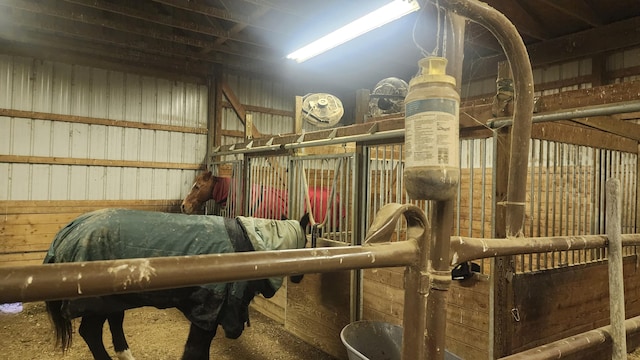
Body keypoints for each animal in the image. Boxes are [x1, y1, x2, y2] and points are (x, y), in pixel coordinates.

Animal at [44, 208, 310, 360]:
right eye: (309, 242)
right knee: (90, 333)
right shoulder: (208, 311)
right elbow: (195, 352)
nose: (300, 278)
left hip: (114, 300)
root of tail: (66, 233)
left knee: (113, 324)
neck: (249, 246)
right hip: (95, 302)